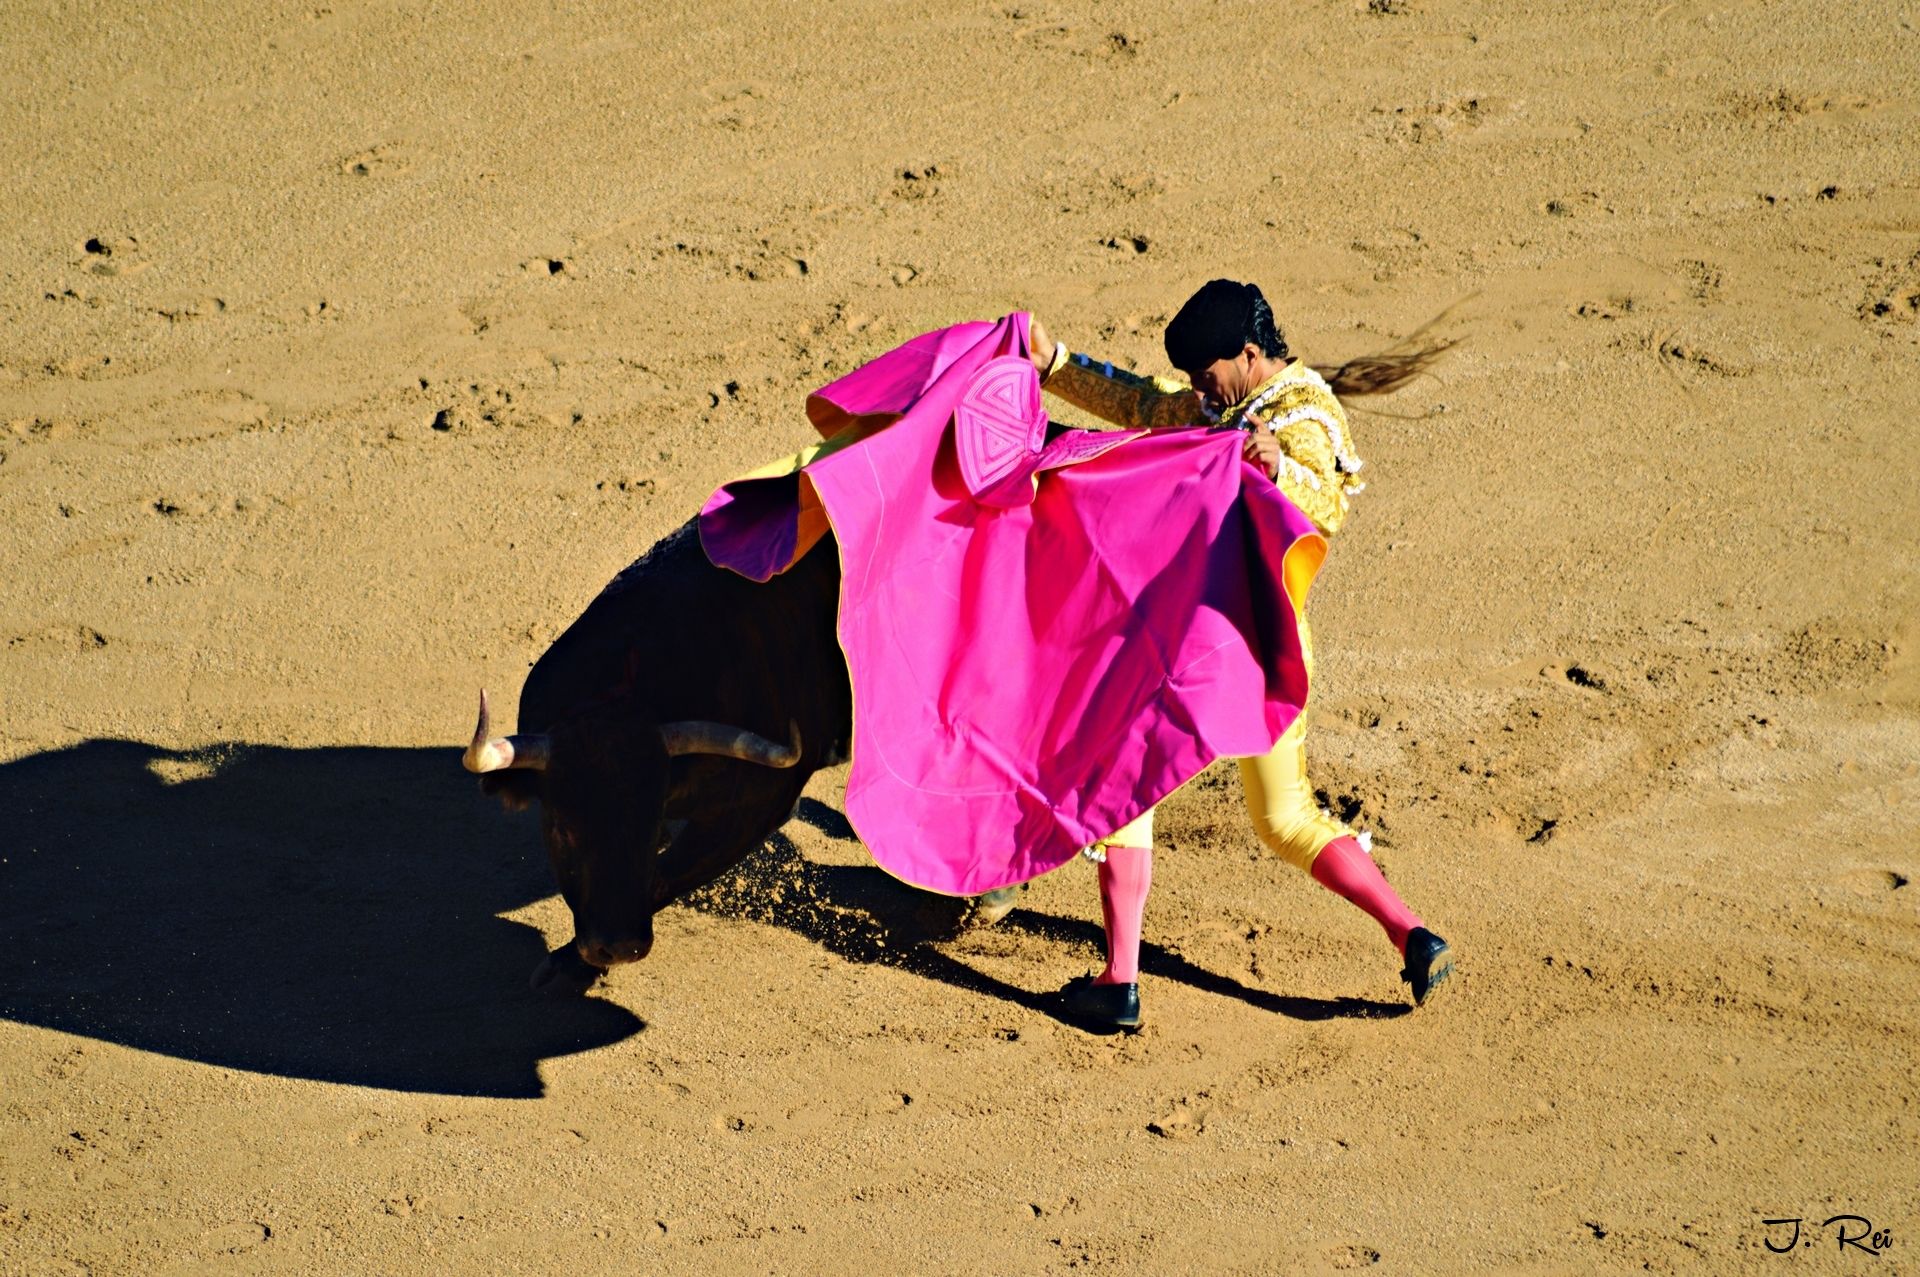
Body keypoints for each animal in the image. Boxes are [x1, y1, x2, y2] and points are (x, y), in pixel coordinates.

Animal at [464, 522, 848, 998]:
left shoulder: (763, 803)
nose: (618, 946)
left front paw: (571, 965)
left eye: (649, 828)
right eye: (563, 830)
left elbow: (668, 874)